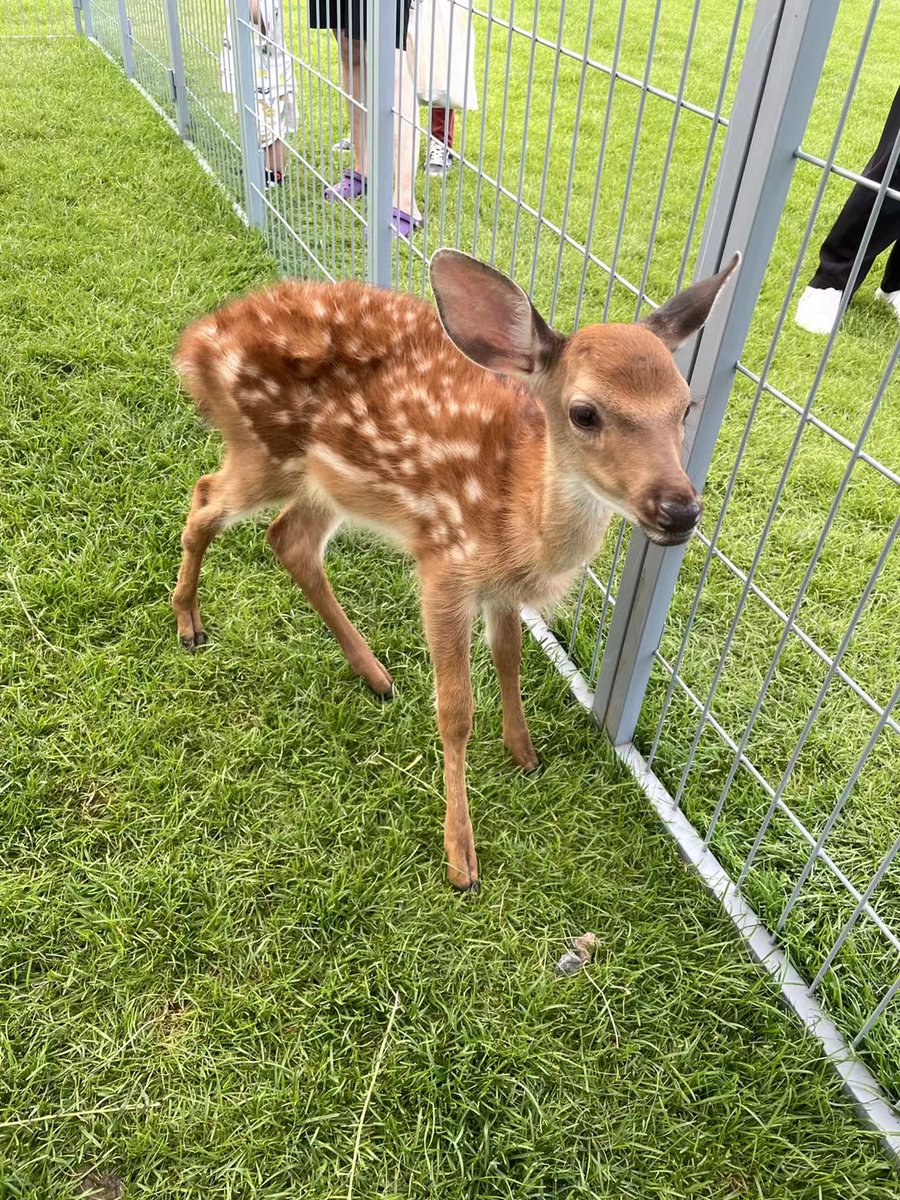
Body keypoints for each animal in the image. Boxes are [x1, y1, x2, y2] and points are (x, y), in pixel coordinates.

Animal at [172, 249, 740, 892]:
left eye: (686, 405)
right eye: (584, 413)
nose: (679, 509)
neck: (516, 515)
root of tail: (197, 342)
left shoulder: (500, 589)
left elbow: (510, 659)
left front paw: (524, 753)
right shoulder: (444, 562)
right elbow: (456, 709)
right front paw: (460, 857)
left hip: (327, 481)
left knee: (287, 539)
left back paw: (376, 675)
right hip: (264, 450)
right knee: (205, 497)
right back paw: (189, 624)